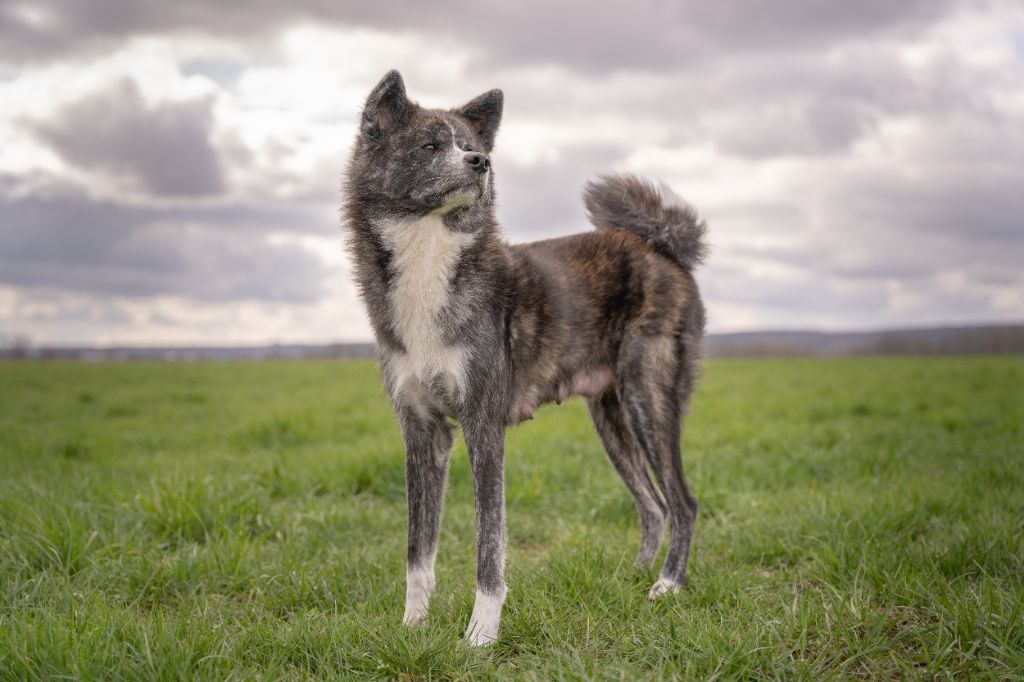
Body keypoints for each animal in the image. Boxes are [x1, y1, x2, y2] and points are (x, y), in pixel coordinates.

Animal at [339, 71, 708, 647]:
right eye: (430, 146)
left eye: (473, 146)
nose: (480, 164)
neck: (429, 253)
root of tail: (662, 248)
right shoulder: (422, 432)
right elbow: (418, 549)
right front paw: (412, 626)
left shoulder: (483, 424)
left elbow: (489, 547)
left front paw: (481, 635)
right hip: (610, 414)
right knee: (654, 503)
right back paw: (633, 575)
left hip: (648, 397)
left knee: (683, 501)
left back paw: (667, 585)